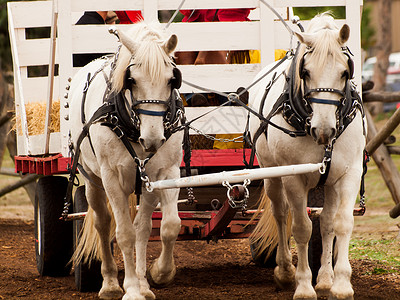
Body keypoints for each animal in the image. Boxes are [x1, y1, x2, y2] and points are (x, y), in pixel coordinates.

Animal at [67, 22, 183, 298]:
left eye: (172, 79)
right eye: (132, 80)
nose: (152, 139)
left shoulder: (164, 174)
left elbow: (165, 226)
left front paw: (156, 275)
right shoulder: (111, 178)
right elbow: (124, 233)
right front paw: (130, 288)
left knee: (141, 226)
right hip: (93, 179)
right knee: (102, 223)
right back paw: (109, 283)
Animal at [250, 12, 366, 298]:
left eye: (345, 72)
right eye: (305, 72)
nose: (324, 130)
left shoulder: (350, 173)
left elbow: (341, 223)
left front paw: (340, 284)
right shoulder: (294, 177)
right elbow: (301, 228)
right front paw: (303, 285)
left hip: (330, 182)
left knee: (326, 221)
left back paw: (324, 278)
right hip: (271, 174)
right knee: (281, 214)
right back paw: (284, 271)